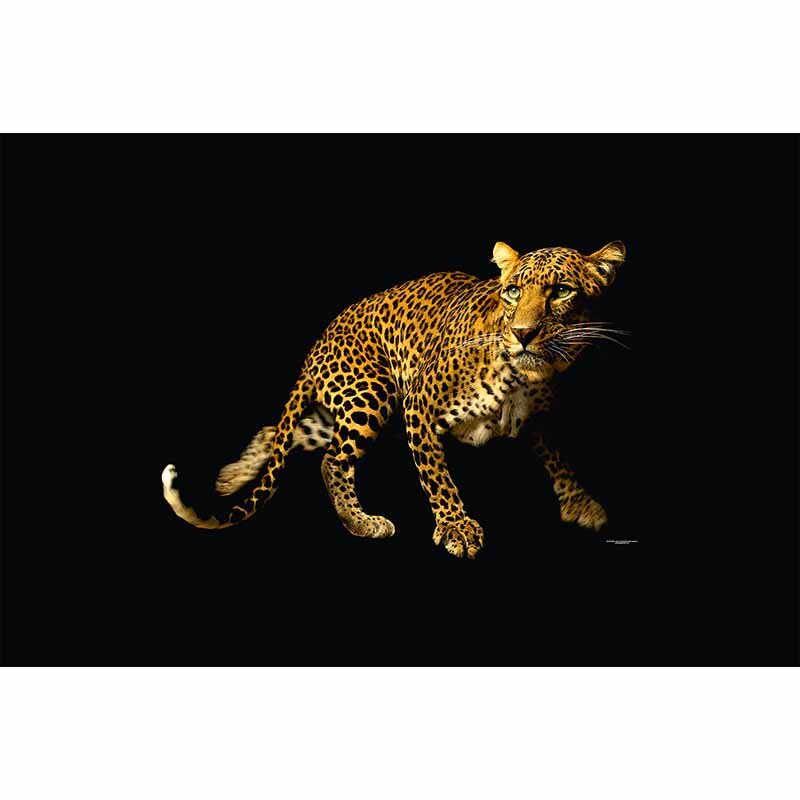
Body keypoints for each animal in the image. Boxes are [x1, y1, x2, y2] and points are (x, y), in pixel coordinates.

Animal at [162, 240, 627, 559]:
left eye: (562, 291)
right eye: (513, 291)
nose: (523, 333)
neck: (522, 375)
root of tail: (319, 342)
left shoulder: (537, 419)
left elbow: (556, 456)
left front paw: (579, 501)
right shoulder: (419, 405)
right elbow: (436, 476)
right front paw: (457, 528)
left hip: (341, 410)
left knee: (278, 432)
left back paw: (231, 477)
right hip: (372, 395)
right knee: (332, 461)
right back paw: (362, 524)